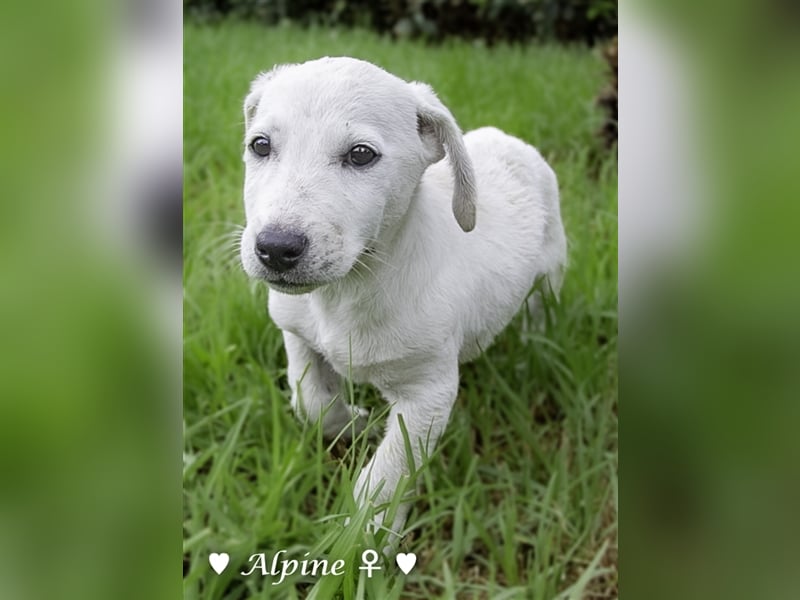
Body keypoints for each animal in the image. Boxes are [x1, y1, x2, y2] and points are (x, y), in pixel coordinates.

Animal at [241, 56, 564, 536]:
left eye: (361, 154)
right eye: (260, 146)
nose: (276, 248)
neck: (347, 291)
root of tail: (511, 140)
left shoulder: (426, 393)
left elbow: (388, 473)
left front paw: (362, 536)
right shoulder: (295, 332)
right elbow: (310, 400)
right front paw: (353, 424)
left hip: (550, 273)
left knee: (539, 316)